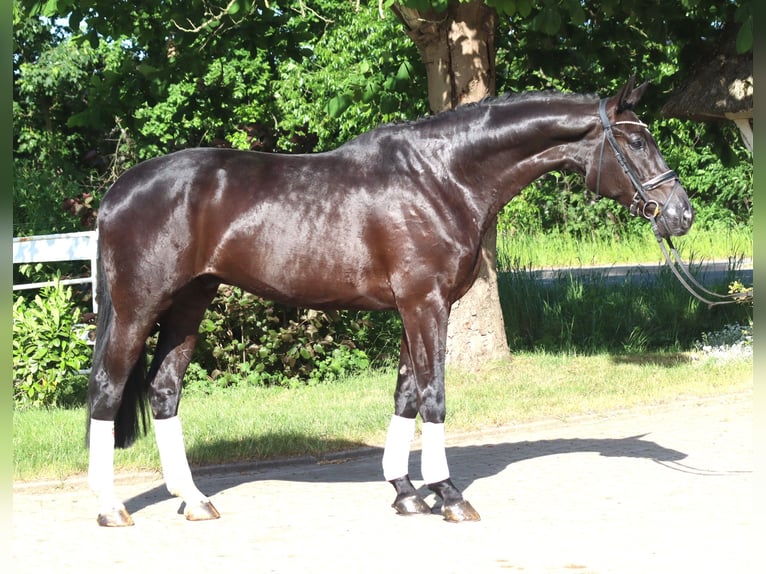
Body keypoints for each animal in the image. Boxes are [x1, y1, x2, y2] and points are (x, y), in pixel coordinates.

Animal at [86, 77, 693, 526]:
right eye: (637, 141)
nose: (681, 214)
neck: (443, 177)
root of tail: (118, 192)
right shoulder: (427, 304)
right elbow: (434, 396)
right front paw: (449, 493)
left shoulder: (412, 307)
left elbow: (405, 394)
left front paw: (406, 490)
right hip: (139, 307)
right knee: (108, 389)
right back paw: (111, 507)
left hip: (191, 302)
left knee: (164, 390)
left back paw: (194, 500)